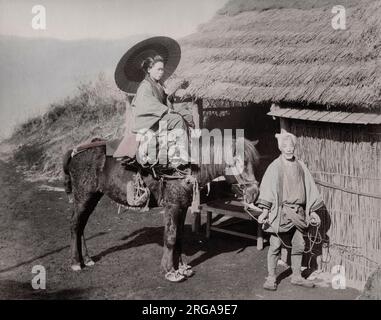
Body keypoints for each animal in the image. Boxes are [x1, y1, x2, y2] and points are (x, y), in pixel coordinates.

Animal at [62, 136, 260, 282]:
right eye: (239, 161)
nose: (254, 193)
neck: (186, 169)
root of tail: (76, 151)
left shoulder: (182, 207)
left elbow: (179, 237)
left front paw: (181, 268)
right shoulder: (172, 206)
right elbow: (171, 238)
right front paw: (168, 271)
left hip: (92, 196)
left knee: (81, 225)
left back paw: (86, 259)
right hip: (83, 196)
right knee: (74, 225)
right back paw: (75, 262)